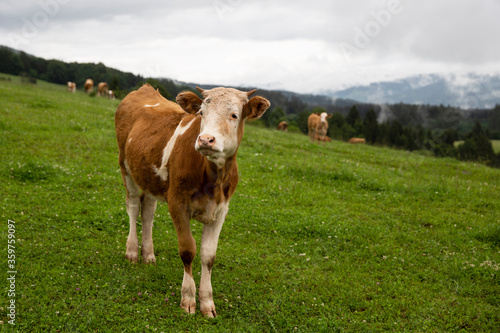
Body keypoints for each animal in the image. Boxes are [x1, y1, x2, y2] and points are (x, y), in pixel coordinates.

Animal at [114, 83, 270, 316]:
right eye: (201, 113)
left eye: (234, 115)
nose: (205, 139)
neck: (212, 178)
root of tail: (145, 89)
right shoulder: (177, 203)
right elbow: (188, 250)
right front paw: (187, 298)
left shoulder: (221, 210)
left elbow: (208, 256)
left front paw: (207, 302)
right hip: (125, 166)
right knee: (133, 206)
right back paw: (132, 251)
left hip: (150, 177)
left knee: (148, 212)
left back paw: (148, 255)